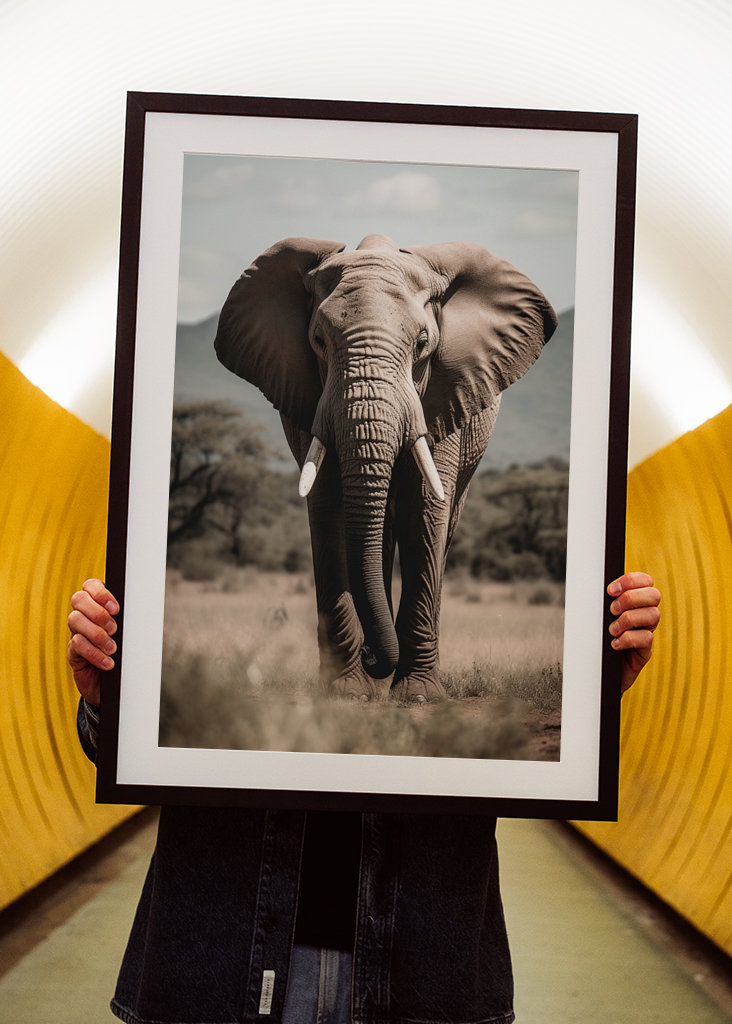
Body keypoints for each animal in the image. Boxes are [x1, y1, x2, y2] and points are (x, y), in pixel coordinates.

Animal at [214, 234, 557, 702]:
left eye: (423, 343)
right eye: (318, 340)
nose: (373, 656)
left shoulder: (445, 393)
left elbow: (425, 511)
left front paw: (417, 696)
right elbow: (329, 508)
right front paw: (347, 692)